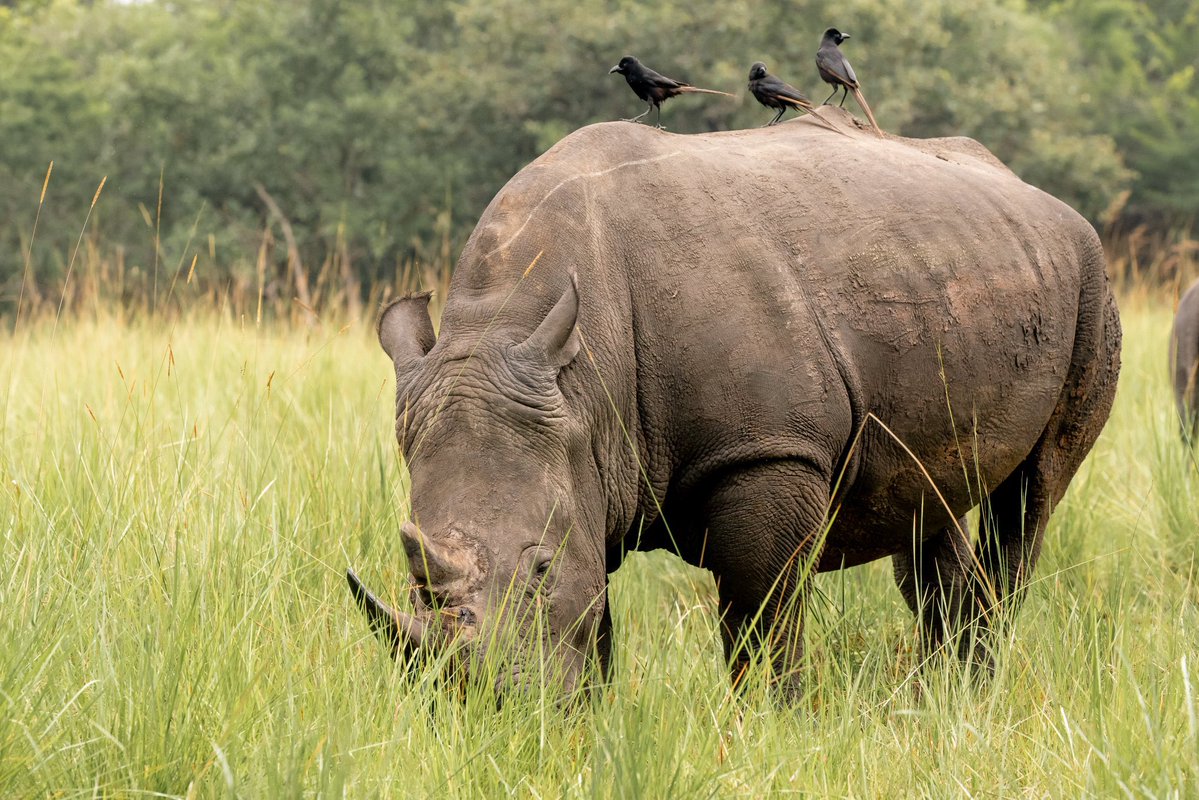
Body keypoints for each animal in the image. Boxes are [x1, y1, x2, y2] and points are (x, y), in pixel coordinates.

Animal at [347, 108, 1122, 697]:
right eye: (414, 584)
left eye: (538, 568)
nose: (485, 707)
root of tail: (1028, 189)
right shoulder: (582, 457)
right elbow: (592, 617)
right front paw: (577, 727)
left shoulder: (766, 451)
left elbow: (760, 612)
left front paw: (776, 725)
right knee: (930, 504)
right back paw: (941, 700)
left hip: (1089, 277)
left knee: (1032, 496)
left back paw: (972, 692)